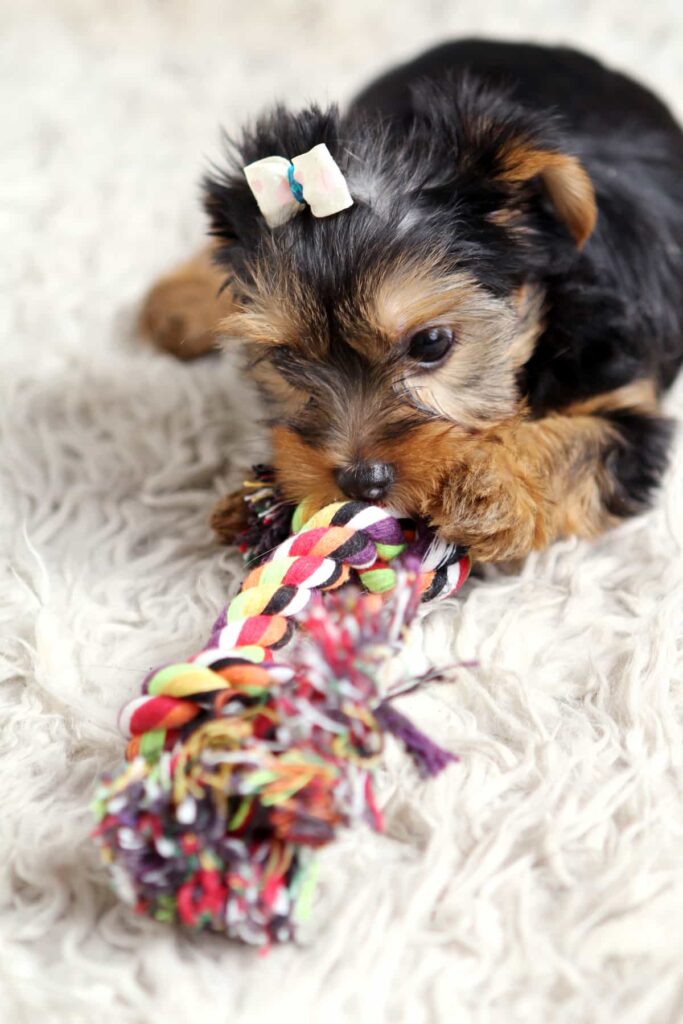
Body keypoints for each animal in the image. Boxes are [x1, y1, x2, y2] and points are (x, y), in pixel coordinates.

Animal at [140, 41, 683, 561]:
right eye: (286, 358)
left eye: (431, 343)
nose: (363, 481)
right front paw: (252, 500)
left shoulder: (629, 407)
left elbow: (580, 444)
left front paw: (488, 487)